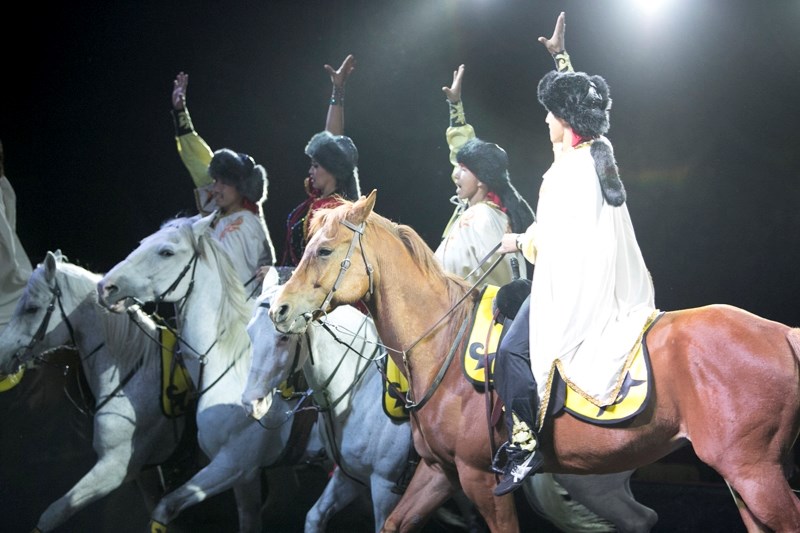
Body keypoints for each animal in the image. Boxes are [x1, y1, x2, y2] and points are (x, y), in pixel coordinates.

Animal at [0, 250, 187, 532]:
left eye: (32, 308)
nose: (2, 354)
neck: (133, 367)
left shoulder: (113, 468)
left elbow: (54, 511)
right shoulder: (145, 472)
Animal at [97, 216, 324, 532]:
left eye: (166, 252)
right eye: (143, 243)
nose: (106, 287)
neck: (229, 365)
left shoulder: (234, 466)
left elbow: (168, 506)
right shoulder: (243, 475)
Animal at [272, 191, 800, 532]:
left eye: (324, 250)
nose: (281, 308)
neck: (442, 346)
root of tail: (782, 333)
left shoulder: (481, 479)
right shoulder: (439, 472)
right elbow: (395, 524)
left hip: (752, 473)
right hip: (737, 480)